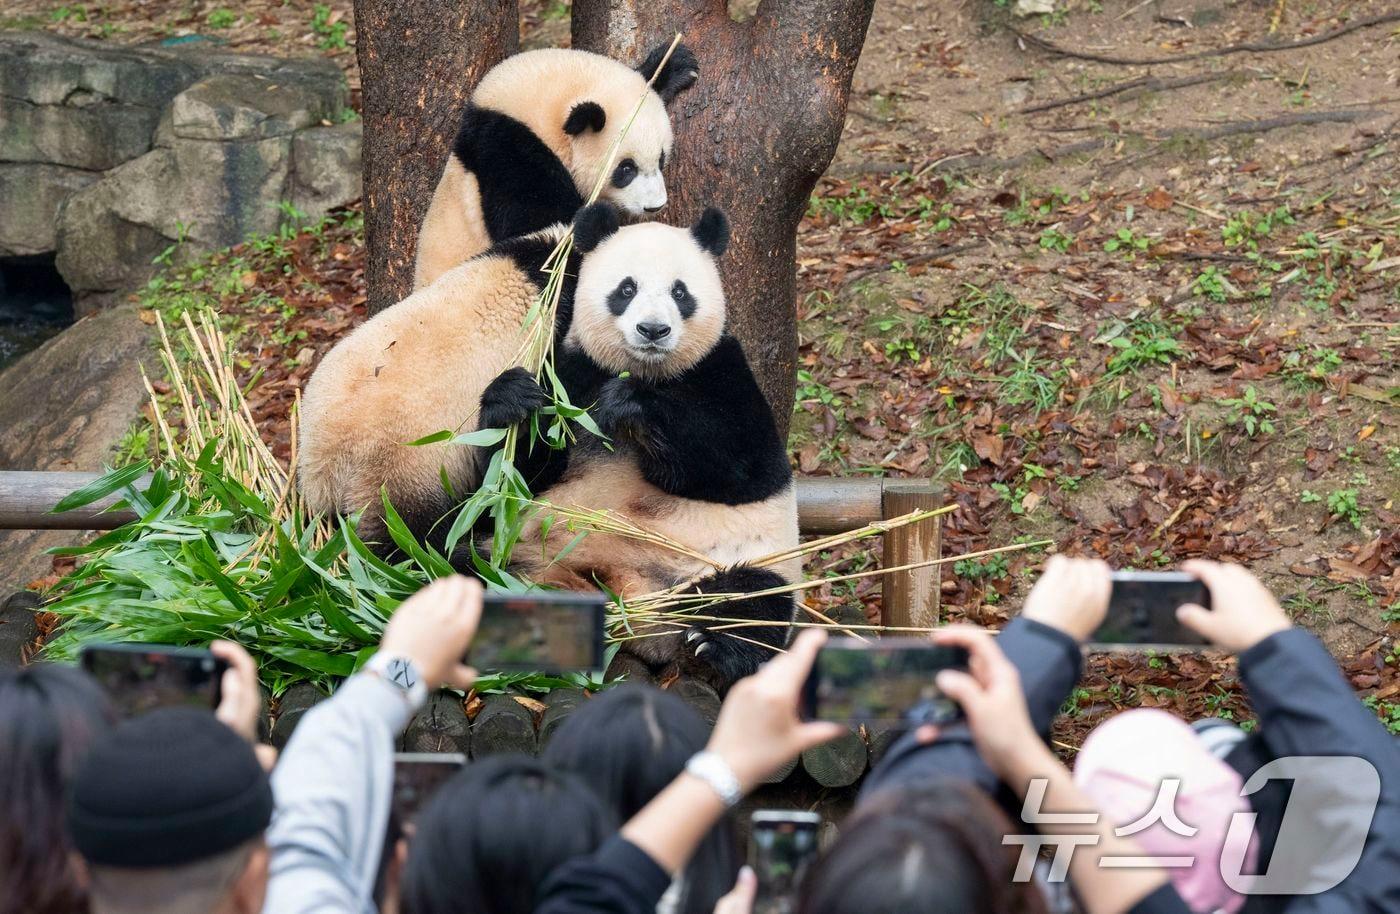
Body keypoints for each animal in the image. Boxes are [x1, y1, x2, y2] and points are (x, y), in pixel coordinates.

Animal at [411, 42, 700, 291]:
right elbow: (537, 226)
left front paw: (674, 63)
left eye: (661, 159)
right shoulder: (508, 151)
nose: (655, 206)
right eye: (626, 169)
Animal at [478, 202, 800, 688]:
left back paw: (716, 644)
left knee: (753, 603)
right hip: (525, 551)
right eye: (626, 288)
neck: (643, 369)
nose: (653, 330)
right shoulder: (572, 374)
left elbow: (745, 468)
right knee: (467, 569)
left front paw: (633, 406)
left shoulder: (722, 370)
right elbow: (520, 474)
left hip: (741, 558)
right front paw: (511, 400)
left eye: (680, 292)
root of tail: (642, 621)